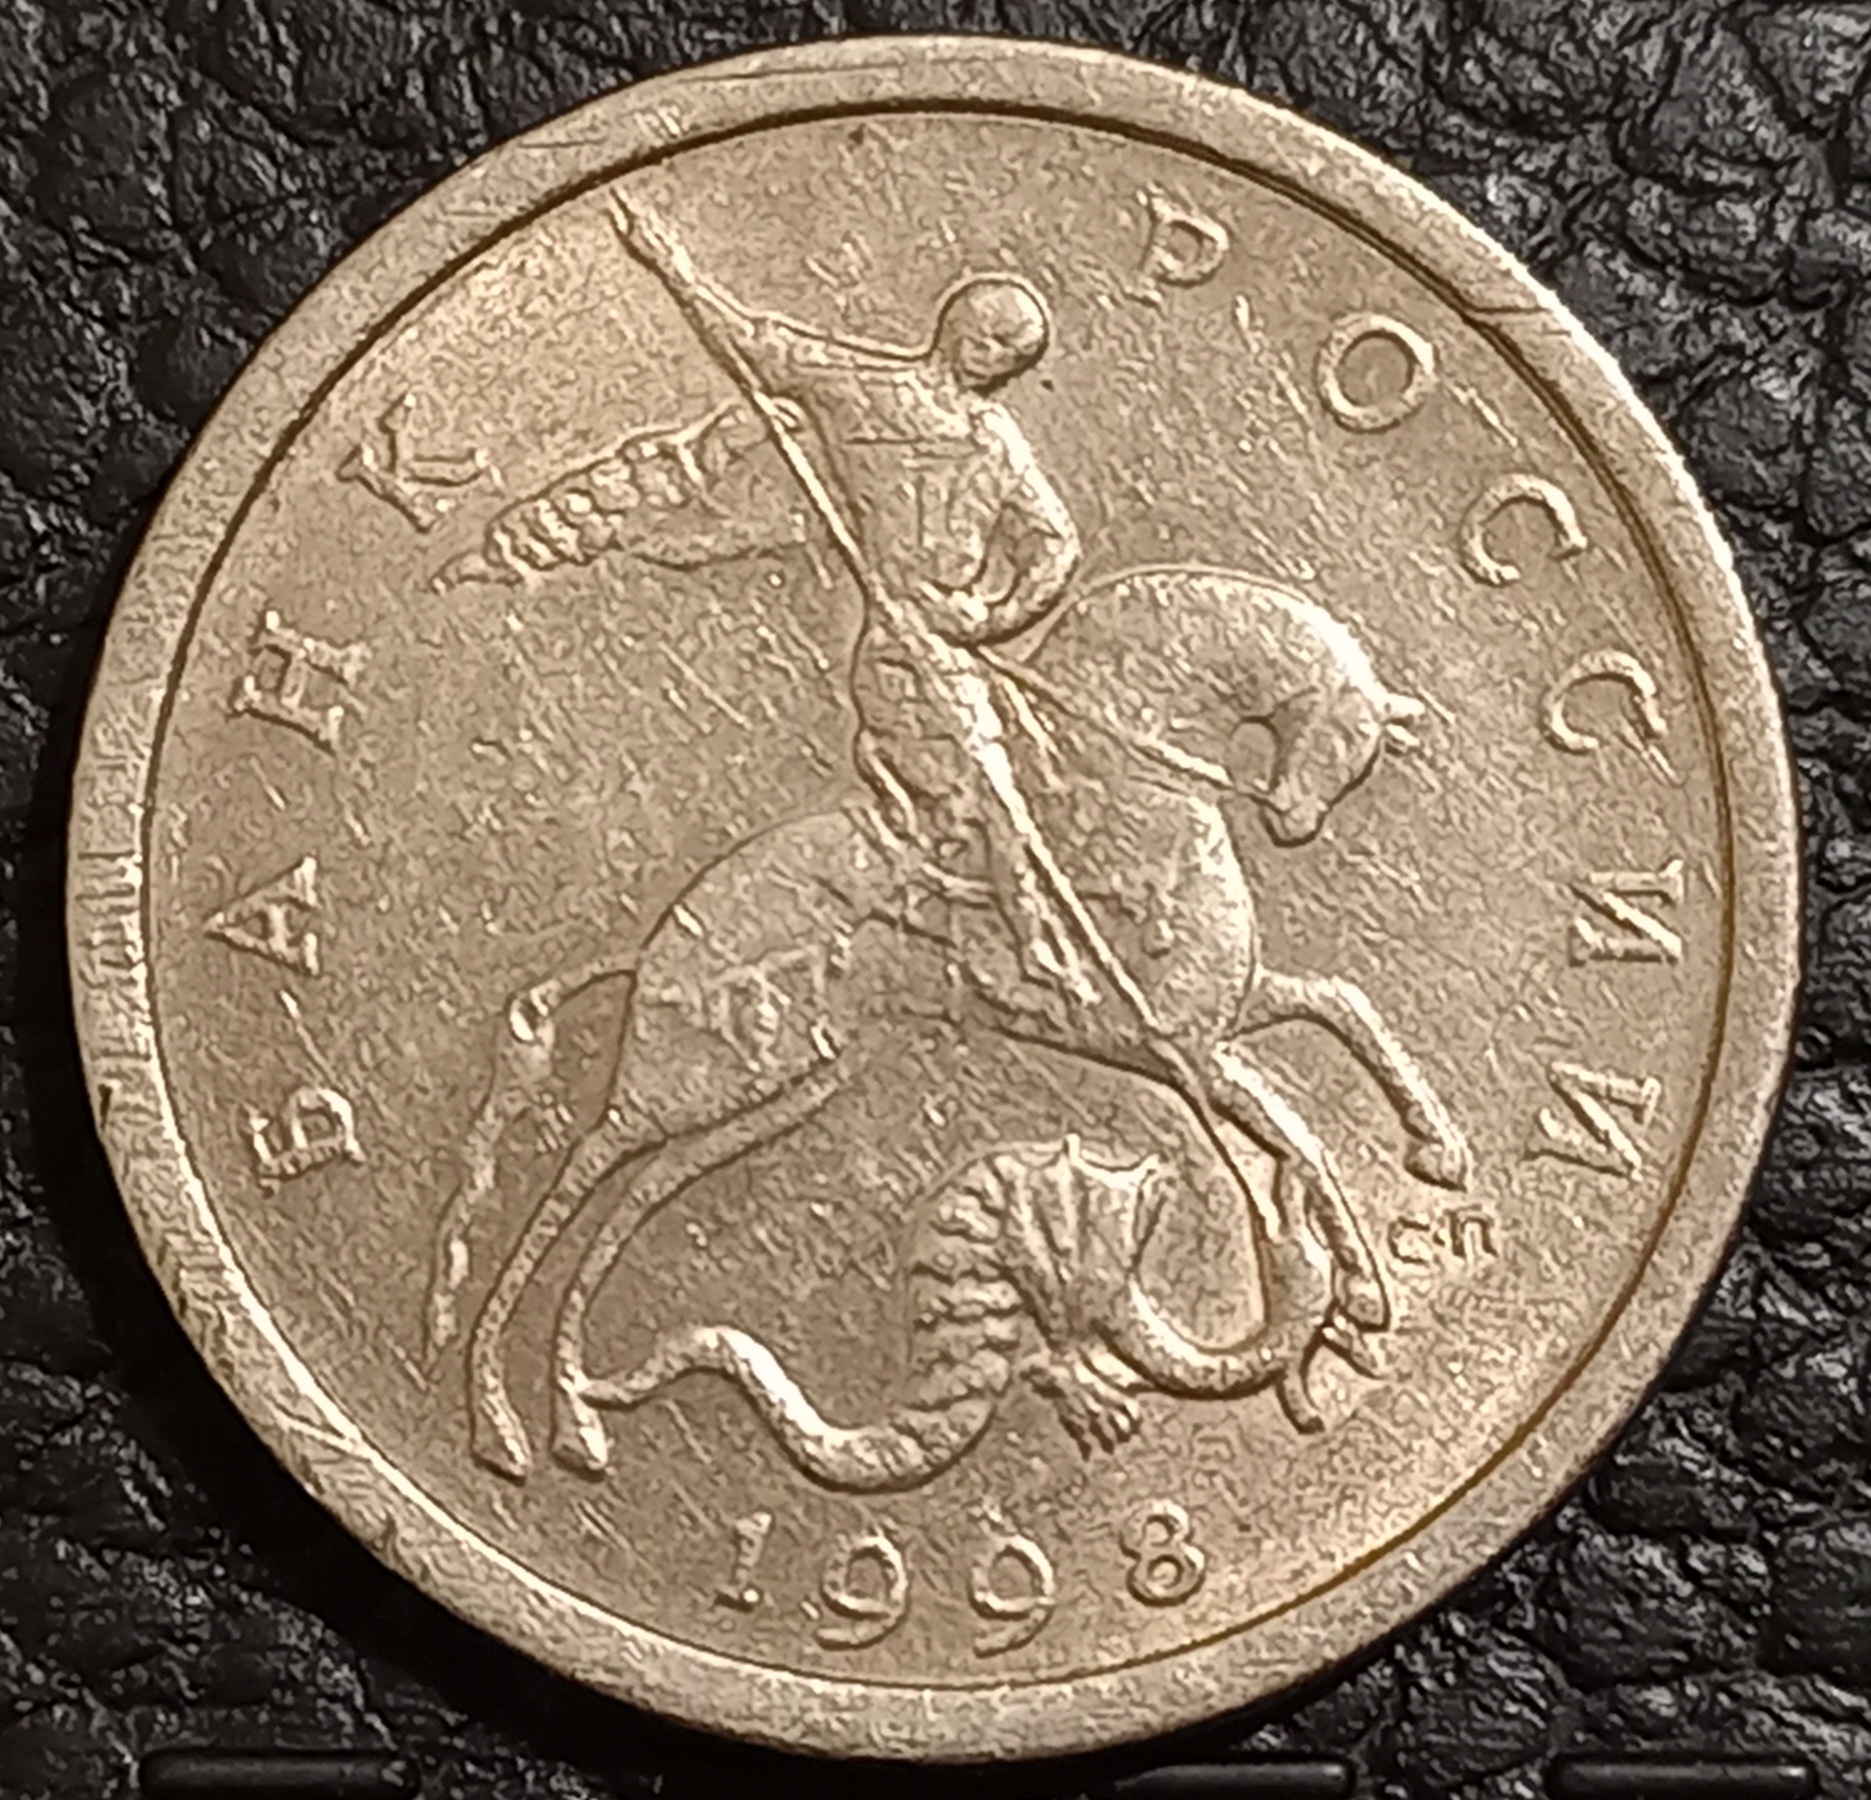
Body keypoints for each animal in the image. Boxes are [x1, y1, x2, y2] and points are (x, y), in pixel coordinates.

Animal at [427, 564, 1471, 1480]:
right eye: (1346, 733)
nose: (1294, 824)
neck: (1132, 796)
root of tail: (652, 948)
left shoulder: (1218, 1021)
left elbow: (1342, 1007)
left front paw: (1434, 1154)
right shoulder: (1187, 1050)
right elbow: (1297, 1131)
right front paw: (1362, 1288)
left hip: (785, 1090)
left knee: (631, 1200)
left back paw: (573, 1415)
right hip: (683, 1085)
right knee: (575, 1173)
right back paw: (498, 1416)